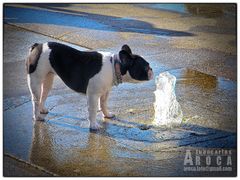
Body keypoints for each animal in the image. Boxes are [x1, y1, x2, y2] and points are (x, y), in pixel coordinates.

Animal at [26, 42, 154, 129]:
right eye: (146, 66)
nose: (152, 69)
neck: (114, 66)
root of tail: (37, 46)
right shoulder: (93, 95)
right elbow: (93, 110)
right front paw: (93, 125)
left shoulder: (105, 92)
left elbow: (103, 104)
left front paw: (107, 115)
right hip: (35, 80)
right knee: (35, 100)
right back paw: (37, 116)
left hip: (48, 79)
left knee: (44, 94)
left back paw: (42, 109)